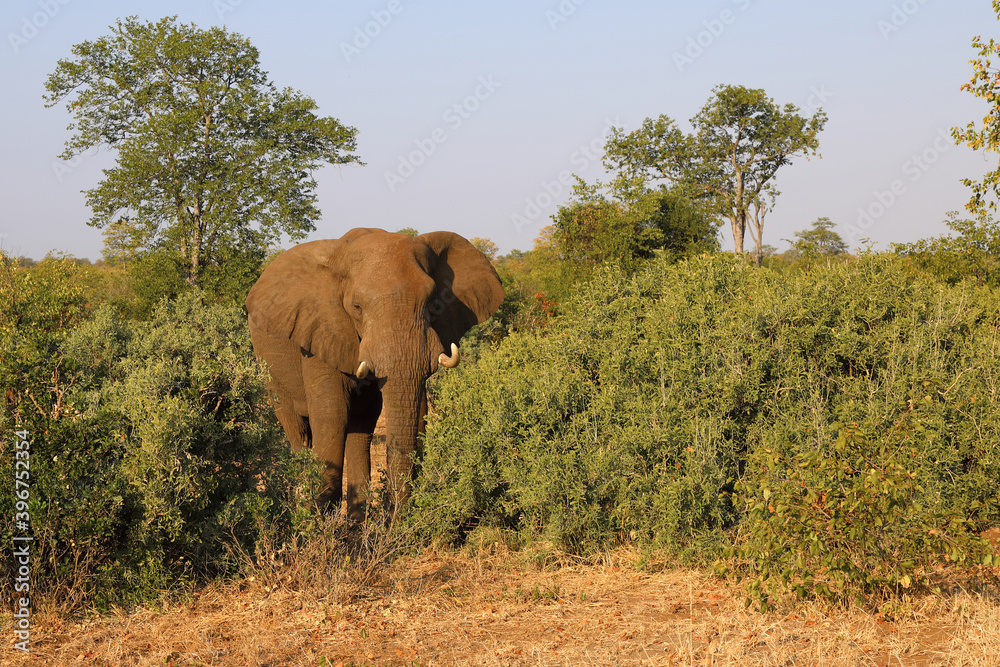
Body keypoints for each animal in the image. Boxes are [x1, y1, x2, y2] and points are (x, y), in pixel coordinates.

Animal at [245, 228, 504, 521]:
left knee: (359, 428)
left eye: (432, 301)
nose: (395, 518)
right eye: (357, 307)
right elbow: (332, 414)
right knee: (298, 430)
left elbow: (410, 412)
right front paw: (318, 523)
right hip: (268, 368)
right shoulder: (321, 330)